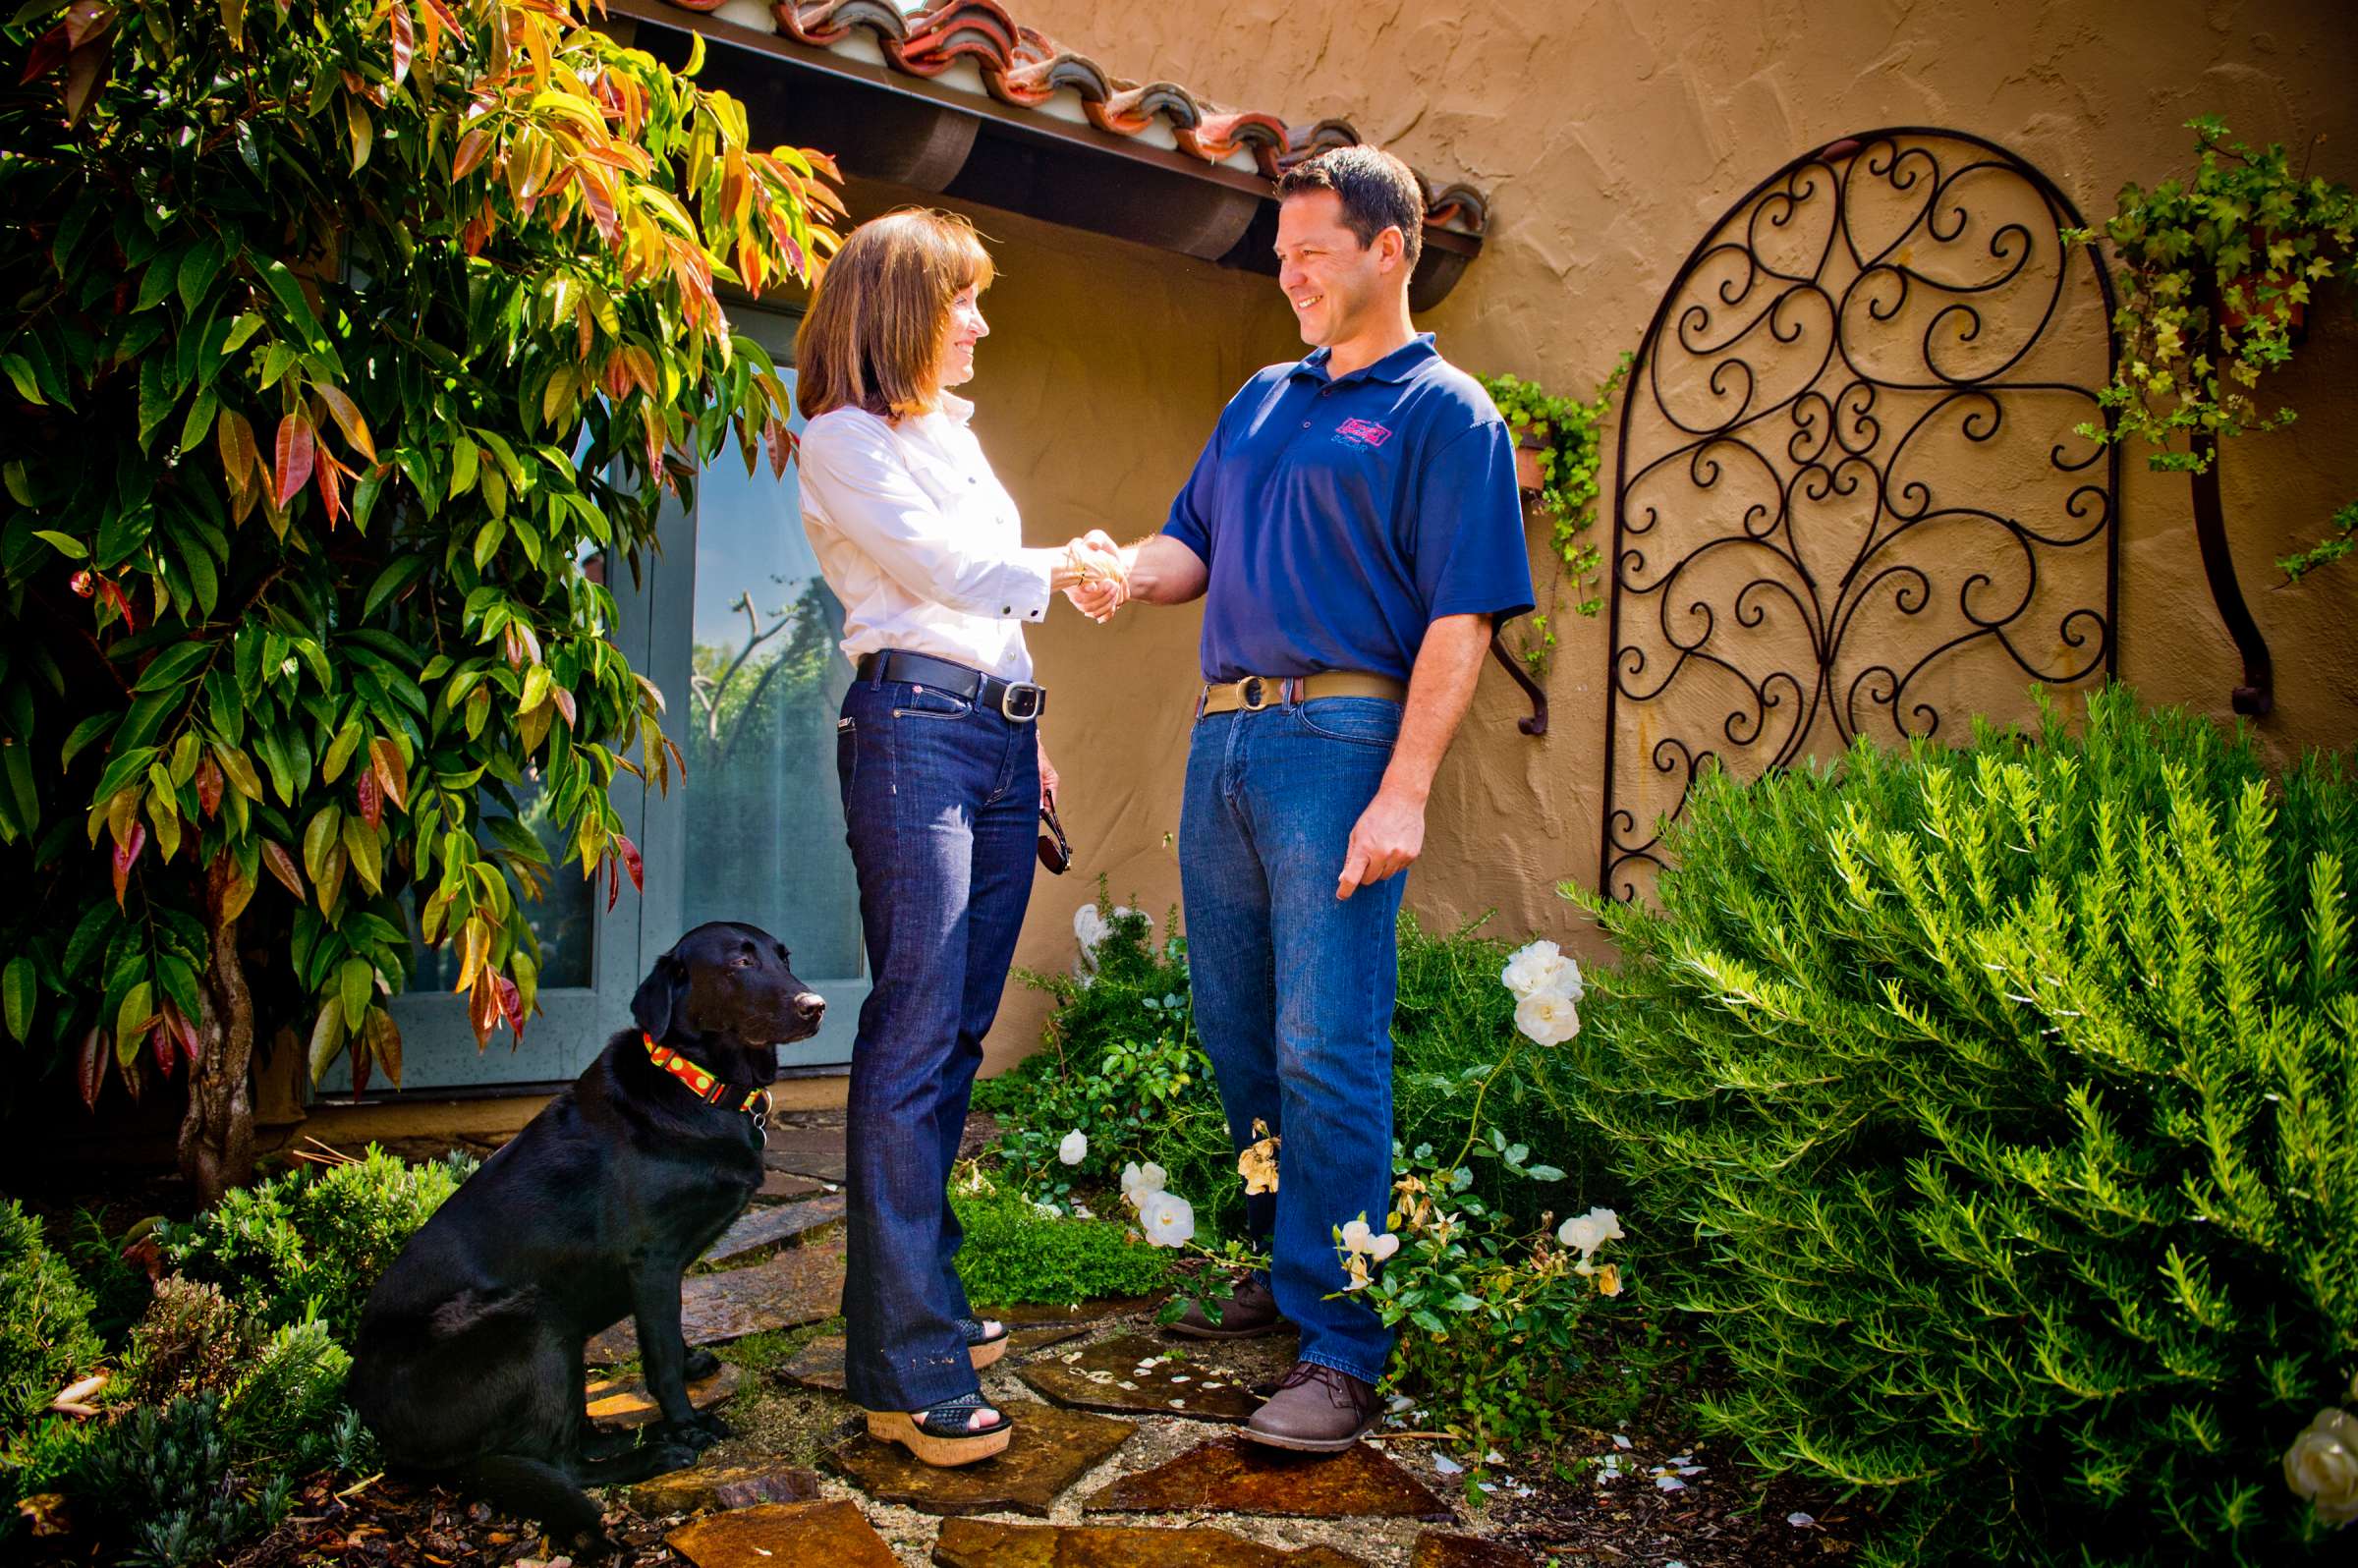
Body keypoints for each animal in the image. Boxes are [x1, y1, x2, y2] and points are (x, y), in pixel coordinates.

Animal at [344, 924, 829, 1546]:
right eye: (740, 964)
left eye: (782, 958)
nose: (816, 1005)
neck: (696, 1086)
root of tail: (383, 1436)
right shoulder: (652, 1262)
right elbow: (659, 1356)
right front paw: (688, 1423)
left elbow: (671, 1336)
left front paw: (692, 1370)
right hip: (535, 1319)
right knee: (561, 1461)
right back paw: (659, 1453)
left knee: (573, 1438)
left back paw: (636, 1438)